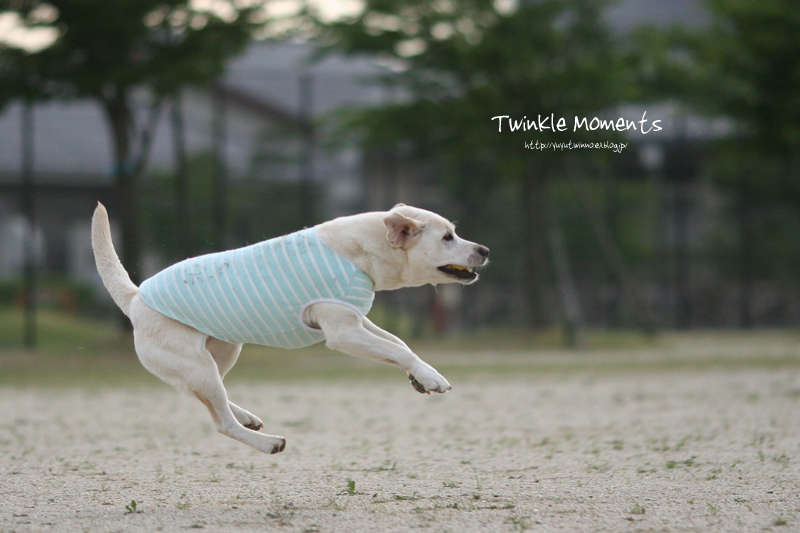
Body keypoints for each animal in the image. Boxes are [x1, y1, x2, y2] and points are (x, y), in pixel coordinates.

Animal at [89, 204, 488, 454]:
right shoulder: (344, 332)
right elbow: (397, 349)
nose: (484, 249)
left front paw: (419, 376)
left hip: (221, 352)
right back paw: (267, 442)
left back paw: (245, 416)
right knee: (220, 421)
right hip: (196, 364)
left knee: (212, 400)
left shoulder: (358, 319)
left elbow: (399, 343)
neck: (361, 249)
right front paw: (432, 377)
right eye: (448, 237)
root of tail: (136, 298)